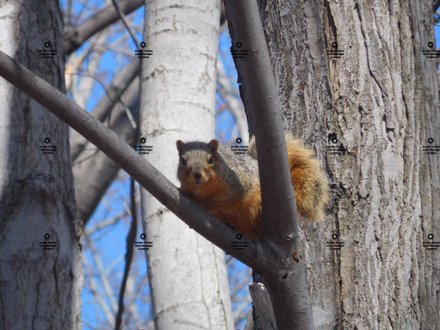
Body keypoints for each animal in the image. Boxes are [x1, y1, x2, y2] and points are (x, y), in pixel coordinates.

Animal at [177, 131, 328, 240]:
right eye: (182, 161)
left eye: (211, 160)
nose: (197, 174)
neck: (202, 190)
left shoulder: (239, 182)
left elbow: (229, 196)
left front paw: (210, 203)